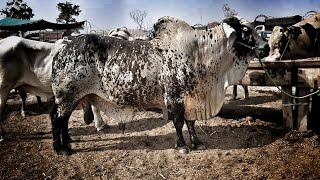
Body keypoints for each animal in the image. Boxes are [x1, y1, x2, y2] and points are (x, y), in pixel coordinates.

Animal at [50, 15, 270, 155]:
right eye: (245, 29)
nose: (266, 47)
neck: (200, 53)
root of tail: (62, 50)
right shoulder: (174, 96)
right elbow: (179, 122)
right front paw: (182, 146)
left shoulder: (191, 98)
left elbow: (191, 122)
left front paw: (197, 143)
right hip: (67, 96)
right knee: (57, 119)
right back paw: (61, 148)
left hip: (69, 97)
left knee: (61, 119)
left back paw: (66, 144)